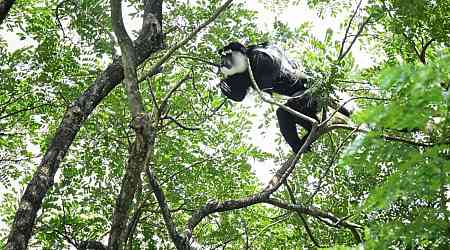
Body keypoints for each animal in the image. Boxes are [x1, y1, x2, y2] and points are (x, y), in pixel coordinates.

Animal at [218, 41, 352, 152]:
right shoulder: (242, 75)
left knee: (293, 103)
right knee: (286, 113)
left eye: (228, 56)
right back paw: (308, 136)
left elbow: (271, 71)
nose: (221, 63)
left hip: (313, 95)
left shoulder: (259, 56)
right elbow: (240, 96)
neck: (247, 64)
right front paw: (225, 87)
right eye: (222, 57)